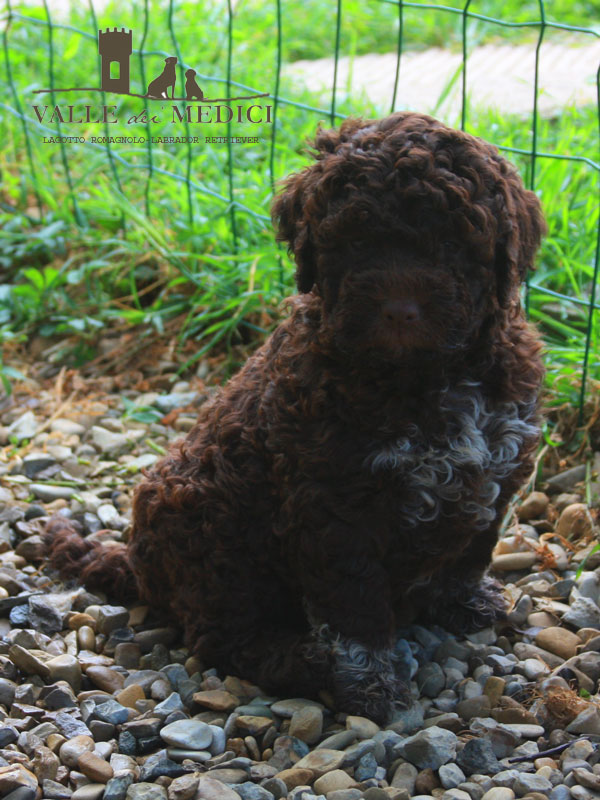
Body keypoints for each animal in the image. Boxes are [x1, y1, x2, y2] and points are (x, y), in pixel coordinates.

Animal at [47, 111, 544, 720]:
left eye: (453, 240)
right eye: (355, 240)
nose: (399, 310)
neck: (425, 375)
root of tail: (139, 562)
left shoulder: (497, 471)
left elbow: (471, 551)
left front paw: (463, 602)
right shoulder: (334, 505)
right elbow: (356, 604)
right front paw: (370, 684)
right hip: (214, 534)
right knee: (221, 633)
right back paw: (302, 663)